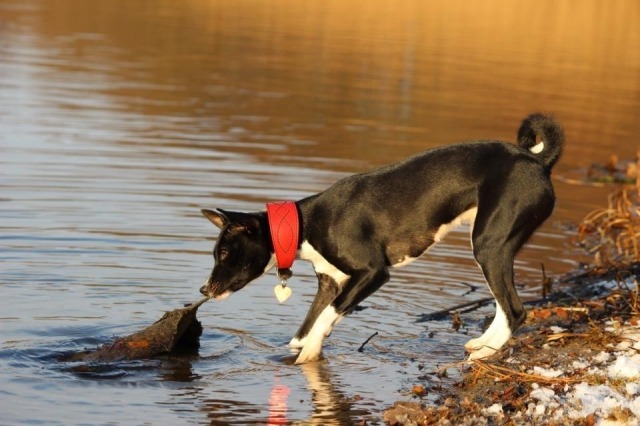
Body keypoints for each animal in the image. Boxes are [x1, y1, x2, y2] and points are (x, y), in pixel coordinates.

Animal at [199, 113, 564, 364]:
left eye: (225, 254)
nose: (204, 290)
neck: (305, 224)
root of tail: (535, 160)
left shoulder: (372, 273)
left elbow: (326, 317)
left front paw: (309, 354)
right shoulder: (330, 282)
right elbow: (307, 325)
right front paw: (298, 350)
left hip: (489, 245)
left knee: (515, 310)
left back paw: (485, 353)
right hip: (492, 247)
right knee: (504, 306)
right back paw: (482, 344)